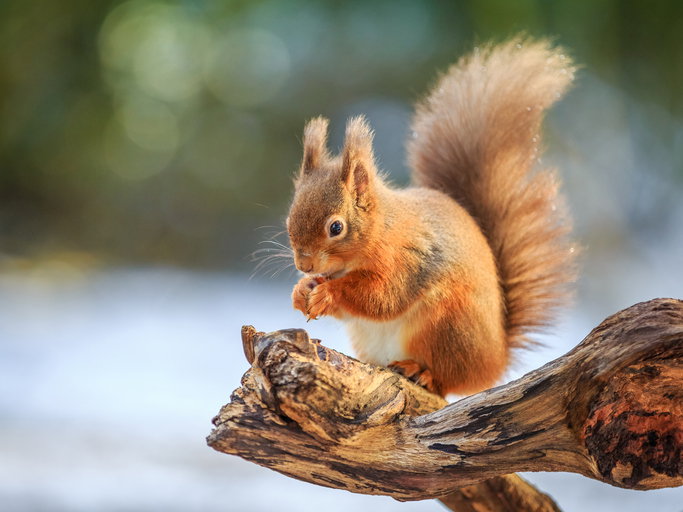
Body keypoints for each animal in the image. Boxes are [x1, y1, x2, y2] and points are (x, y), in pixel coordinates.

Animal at [284, 38, 577, 397]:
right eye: (288, 220)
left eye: (336, 227)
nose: (304, 264)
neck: (382, 230)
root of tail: (495, 361)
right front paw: (302, 290)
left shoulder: (408, 260)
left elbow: (381, 297)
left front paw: (328, 292)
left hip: (446, 327)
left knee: (445, 379)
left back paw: (420, 371)